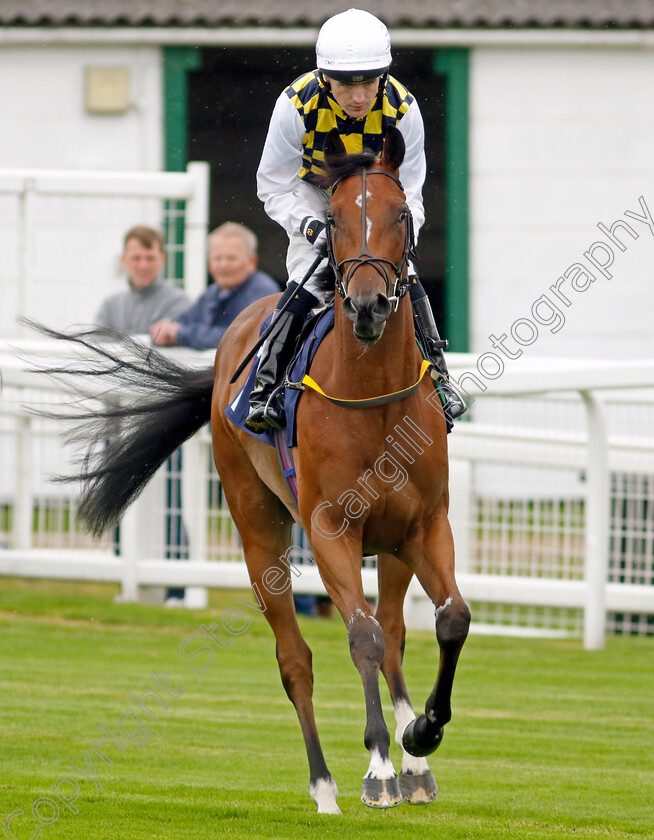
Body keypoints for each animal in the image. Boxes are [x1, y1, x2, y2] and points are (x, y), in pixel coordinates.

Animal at [37, 126, 472, 812]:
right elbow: (361, 637)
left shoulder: (424, 525)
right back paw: (325, 785)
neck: (374, 396)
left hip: (391, 545)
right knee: (297, 659)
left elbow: (449, 620)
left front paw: (421, 734)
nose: (370, 307)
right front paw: (377, 767)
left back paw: (415, 766)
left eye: (402, 214)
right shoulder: (328, 529)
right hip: (257, 528)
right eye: (332, 220)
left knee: (397, 629)